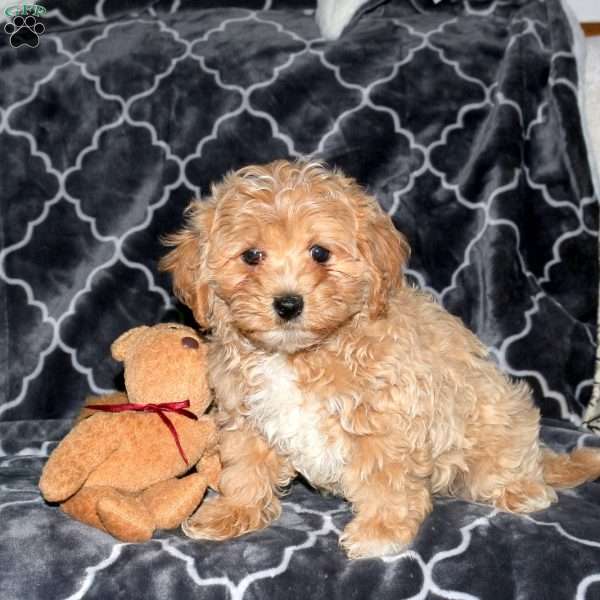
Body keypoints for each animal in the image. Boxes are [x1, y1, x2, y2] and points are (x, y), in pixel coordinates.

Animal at [159, 159, 600, 556]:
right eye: (251, 256)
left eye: (320, 253)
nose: (287, 304)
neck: (299, 354)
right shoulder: (245, 417)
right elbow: (245, 469)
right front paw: (234, 512)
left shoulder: (385, 422)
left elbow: (384, 479)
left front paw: (380, 531)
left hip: (494, 427)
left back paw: (522, 488)